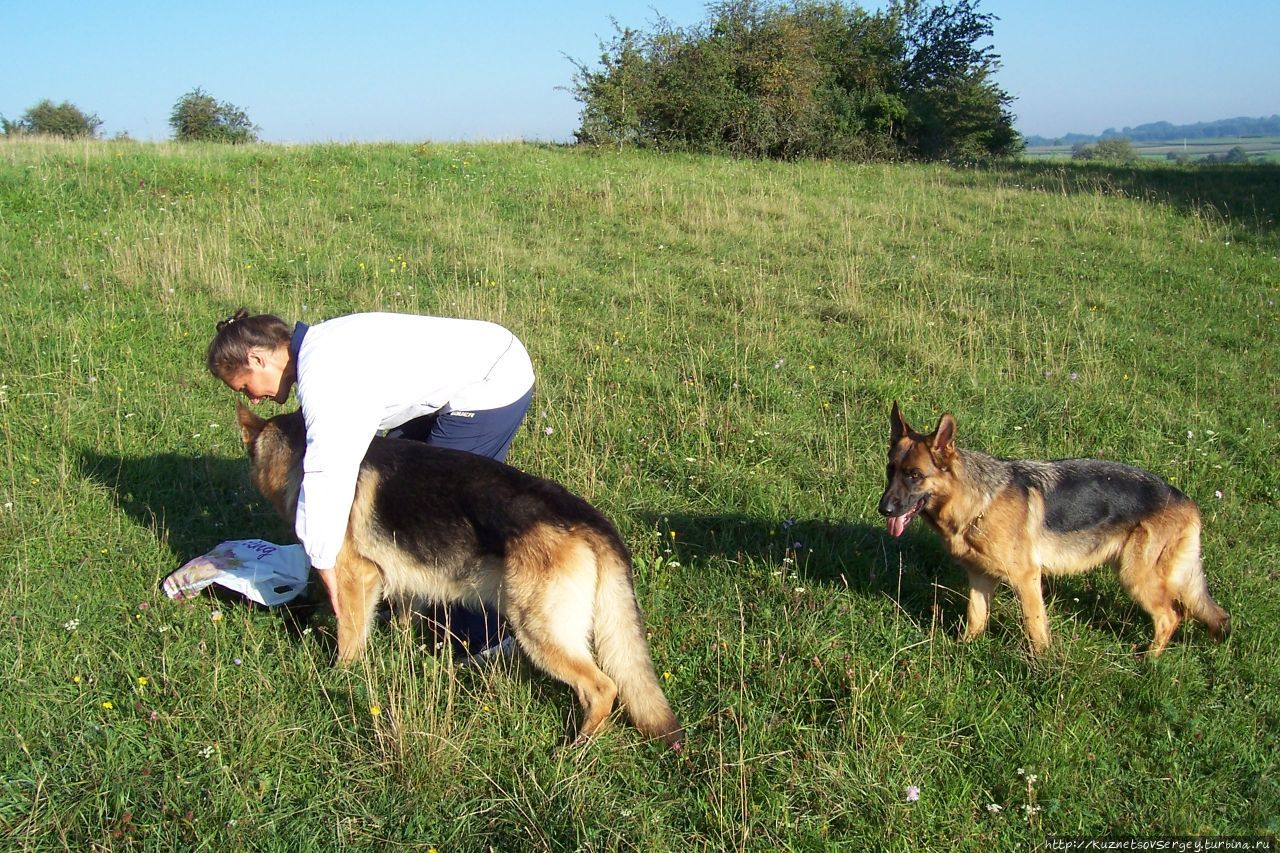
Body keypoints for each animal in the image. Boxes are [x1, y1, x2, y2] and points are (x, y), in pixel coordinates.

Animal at [236, 404, 686, 742]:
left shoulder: (355, 579)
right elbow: (402, 622)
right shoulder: (407, 582)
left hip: (539, 631)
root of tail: (587, 518)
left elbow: (349, 639)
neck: (301, 455)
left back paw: (576, 748)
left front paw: (338, 679)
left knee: (603, 686)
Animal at [875, 402, 1223, 653]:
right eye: (891, 470)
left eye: (915, 475)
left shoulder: (1027, 579)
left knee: (1170, 616)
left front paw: (1041, 665)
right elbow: (975, 618)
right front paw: (965, 649)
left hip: (1135, 577)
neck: (977, 503)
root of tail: (1187, 502)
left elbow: (1035, 628)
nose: (884, 509)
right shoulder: (980, 578)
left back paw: (1148, 661)